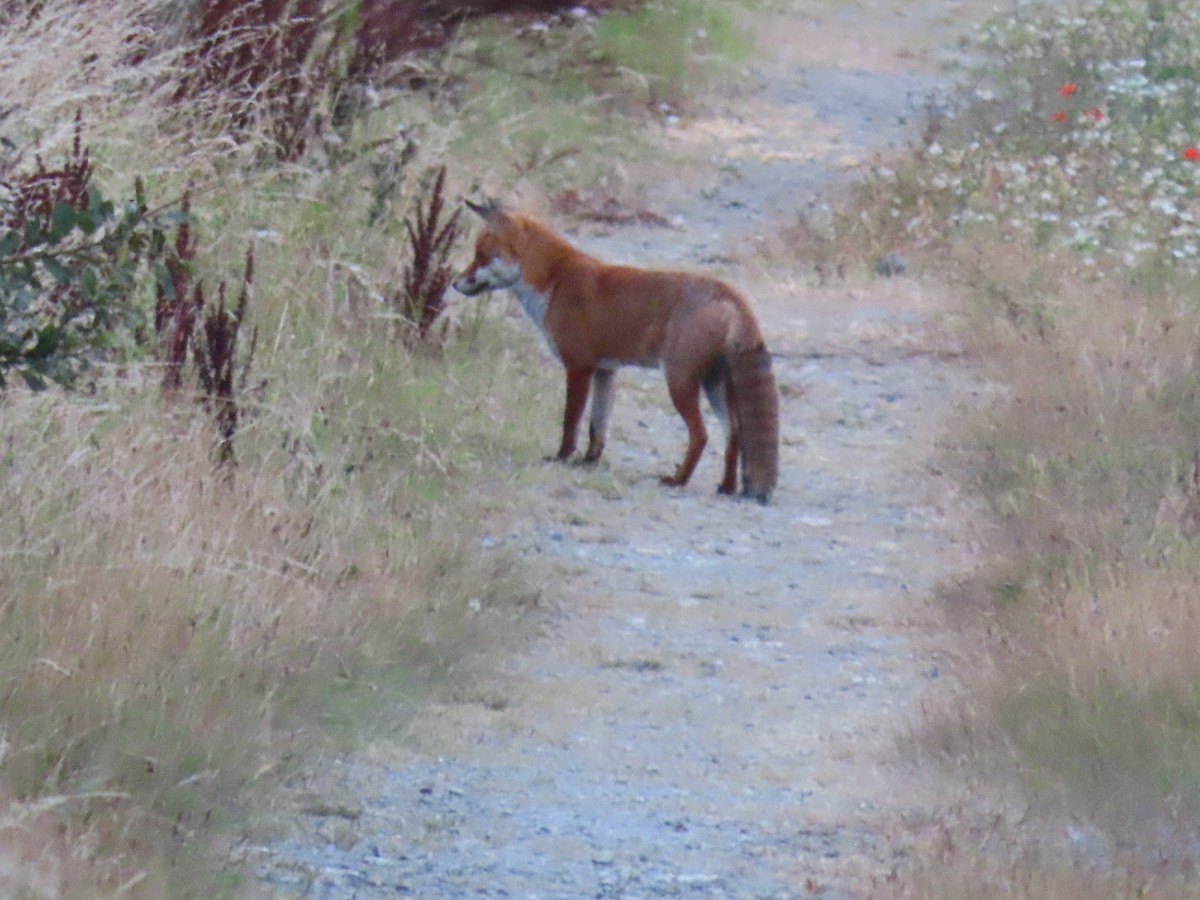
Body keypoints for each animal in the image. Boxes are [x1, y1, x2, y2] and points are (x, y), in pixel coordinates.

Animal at [452, 199, 780, 503]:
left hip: (680, 382)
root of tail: (732, 294)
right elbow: (597, 426)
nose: (454, 283)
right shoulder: (605, 371)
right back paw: (726, 486)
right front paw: (588, 462)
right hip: (714, 385)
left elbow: (571, 422)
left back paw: (678, 480)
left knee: (701, 434)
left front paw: (562, 457)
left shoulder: (579, 367)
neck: (555, 281)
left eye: (481, 256)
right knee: (734, 433)